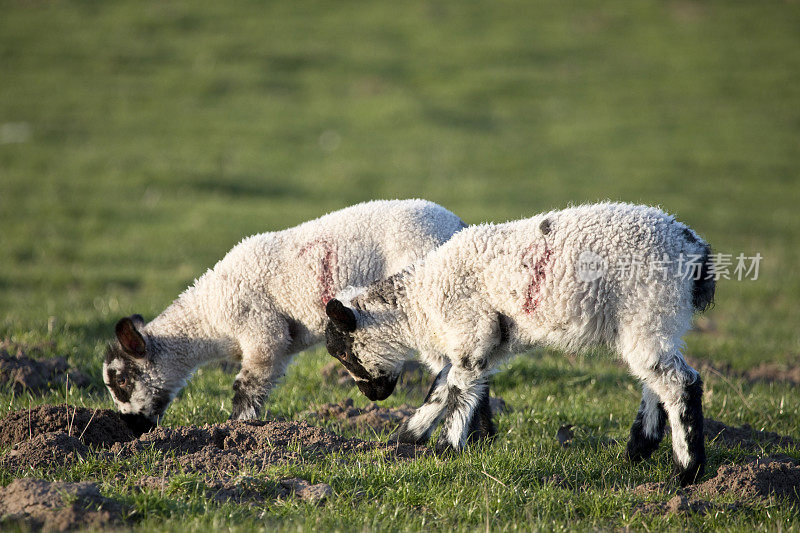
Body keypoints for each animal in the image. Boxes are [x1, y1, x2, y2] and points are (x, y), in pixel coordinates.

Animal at [103, 198, 466, 432]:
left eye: (121, 381)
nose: (130, 426)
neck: (209, 321)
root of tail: (457, 224)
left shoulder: (262, 333)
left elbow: (246, 389)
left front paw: (238, 431)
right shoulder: (281, 345)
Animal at [324, 202, 720, 484]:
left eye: (342, 352)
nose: (372, 396)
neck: (420, 303)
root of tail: (696, 249)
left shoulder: (470, 333)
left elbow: (456, 389)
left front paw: (445, 450)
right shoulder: (487, 344)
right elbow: (446, 386)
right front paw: (407, 439)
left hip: (649, 304)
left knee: (680, 383)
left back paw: (686, 473)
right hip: (651, 319)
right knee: (654, 380)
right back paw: (638, 451)